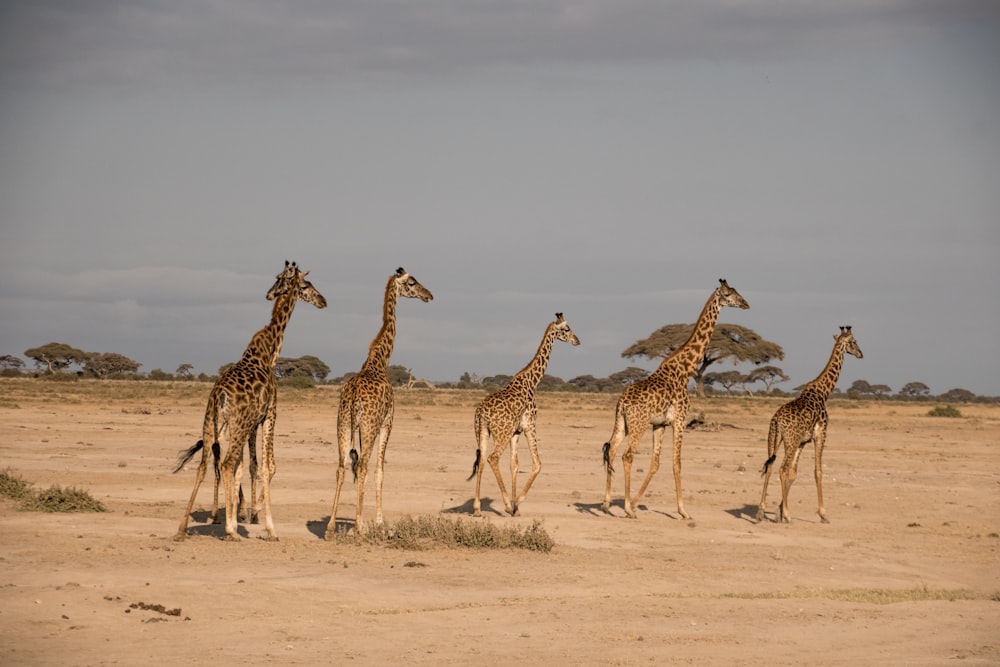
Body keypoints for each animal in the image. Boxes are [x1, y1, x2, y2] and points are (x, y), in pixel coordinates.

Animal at [174, 262, 326, 544]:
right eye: (306, 285)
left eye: (277, 279)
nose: (323, 300)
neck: (268, 351)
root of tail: (220, 395)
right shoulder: (270, 414)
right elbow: (267, 466)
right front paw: (267, 526)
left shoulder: (250, 424)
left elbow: (246, 467)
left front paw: (243, 514)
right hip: (237, 424)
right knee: (225, 464)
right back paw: (230, 530)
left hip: (211, 424)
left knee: (204, 466)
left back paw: (183, 528)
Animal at [322, 266, 428, 536]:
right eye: (412, 282)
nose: (428, 295)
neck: (379, 360)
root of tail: (353, 400)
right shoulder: (387, 422)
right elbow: (380, 470)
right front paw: (380, 522)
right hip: (368, 427)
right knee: (362, 466)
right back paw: (360, 528)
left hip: (343, 425)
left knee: (341, 467)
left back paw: (330, 527)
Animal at [466, 312, 580, 516]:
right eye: (567, 329)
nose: (577, 341)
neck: (531, 382)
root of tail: (481, 413)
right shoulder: (530, 425)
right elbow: (537, 463)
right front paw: (516, 503)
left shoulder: (516, 432)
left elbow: (514, 465)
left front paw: (515, 508)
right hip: (501, 433)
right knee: (493, 458)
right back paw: (505, 503)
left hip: (482, 432)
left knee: (481, 461)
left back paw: (478, 508)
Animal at [596, 280, 748, 520]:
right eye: (728, 294)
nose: (745, 303)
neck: (685, 371)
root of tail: (623, 403)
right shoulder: (679, 420)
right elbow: (677, 463)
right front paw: (683, 511)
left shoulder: (660, 424)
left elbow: (656, 463)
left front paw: (636, 503)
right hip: (638, 425)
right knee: (627, 456)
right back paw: (627, 509)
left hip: (622, 423)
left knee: (611, 450)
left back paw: (607, 503)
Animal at [752, 326, 864, 524]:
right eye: (853, 341)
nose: (861, 354)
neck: (824, 392)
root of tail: (776, 420)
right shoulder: (820, 435)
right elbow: (817, 471)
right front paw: (822, 514)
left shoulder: (802, 441)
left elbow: (794, 473)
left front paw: (779, 512)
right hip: (789, 442)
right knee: (781, 469)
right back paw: (788, 515)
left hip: (774, 439)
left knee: (771, 467)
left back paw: (761, 511)